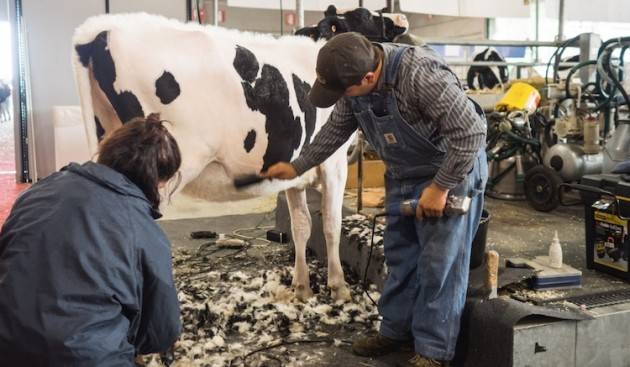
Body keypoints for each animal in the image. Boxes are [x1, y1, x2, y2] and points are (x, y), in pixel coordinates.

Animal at [71, 12, 354, 304]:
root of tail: (100, 27)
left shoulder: (296, 171)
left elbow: (301, 226)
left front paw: (301, 288)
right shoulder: (335, 162)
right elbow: (331, 224)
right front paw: (339, 287)